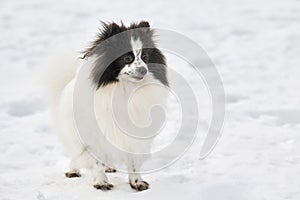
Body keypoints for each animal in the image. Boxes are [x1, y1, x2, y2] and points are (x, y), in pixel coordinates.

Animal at [43, 21, 169, 191]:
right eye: (127, 58)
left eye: (145, 57)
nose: (143, 70)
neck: (125, 89)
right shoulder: (94, 133)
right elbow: (96, 161)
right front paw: (101, 182)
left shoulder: (133, 134)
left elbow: (133, 161)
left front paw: (137, 182)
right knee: (77, 153)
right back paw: (73, 170)